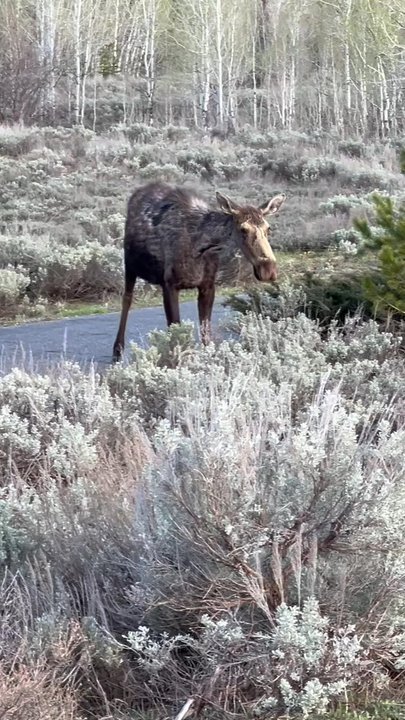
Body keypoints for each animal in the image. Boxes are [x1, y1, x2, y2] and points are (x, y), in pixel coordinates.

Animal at [112, 181, 286, 362]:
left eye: (268, 228)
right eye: (243, 229)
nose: (268, 269)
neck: (200, 248)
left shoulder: (207, 285)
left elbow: (205, 334)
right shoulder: (170, 284)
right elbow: (177, 333)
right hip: (129, 266)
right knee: (127, 300)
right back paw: (118, 349)